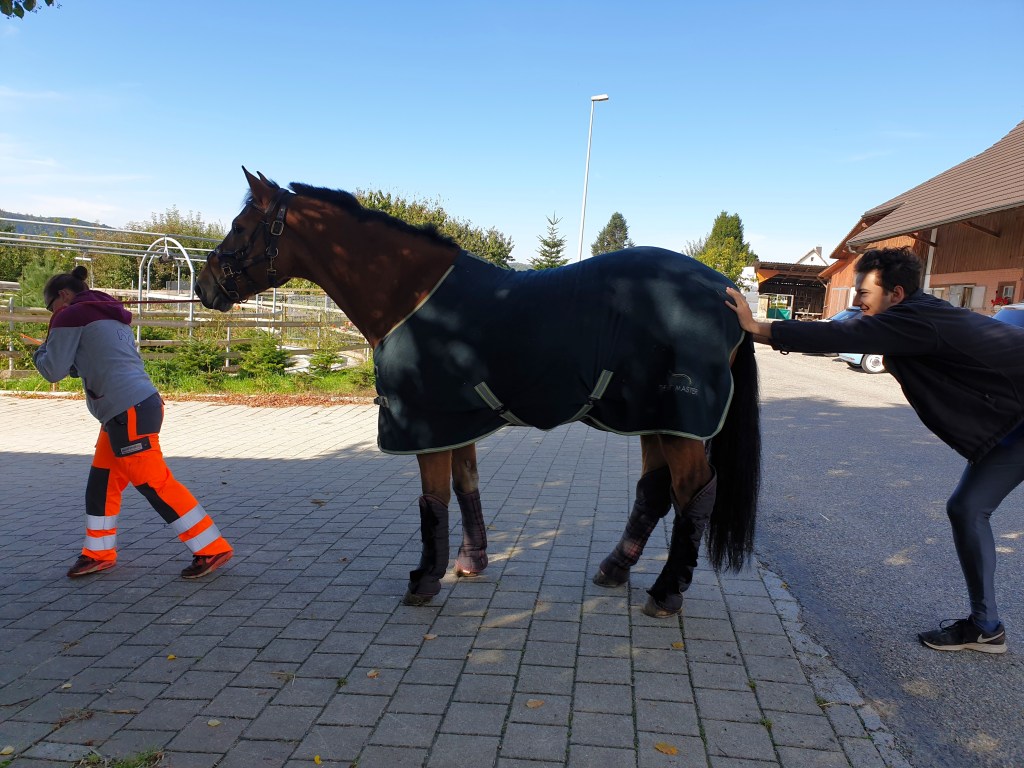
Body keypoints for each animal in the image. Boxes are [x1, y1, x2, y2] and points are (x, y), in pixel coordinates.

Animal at [195, 168, 761, 618]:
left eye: (240, 227)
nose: (204, 286)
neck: (417, 300)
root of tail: (726, 293)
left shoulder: (424, 422)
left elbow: (432, 500)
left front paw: (425, 580)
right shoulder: (454, 419)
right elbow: (465, 486)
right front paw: (470, 563)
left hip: (680, 423)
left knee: (693, 494)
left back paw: (666, 593)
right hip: (652, 418)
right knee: (654, 491)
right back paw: (614, 569)